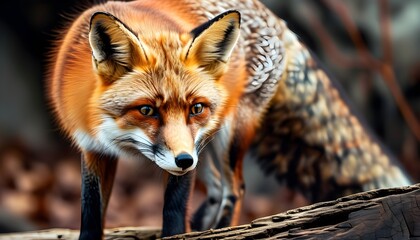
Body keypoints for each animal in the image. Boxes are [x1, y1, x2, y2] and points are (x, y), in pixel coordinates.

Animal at [47, 0, 412, 237]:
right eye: (147, 110)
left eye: (195, 108)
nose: (183, 160)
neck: (118, 138)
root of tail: (278, 21)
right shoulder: (93, 149)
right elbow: (91, 213)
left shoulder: (184, 155)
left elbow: (173, 211)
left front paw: (179, 231)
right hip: (205, 146)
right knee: (217, 189)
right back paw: (203, 227)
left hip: (223, 138)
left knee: (235, 189)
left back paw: (219, 229)